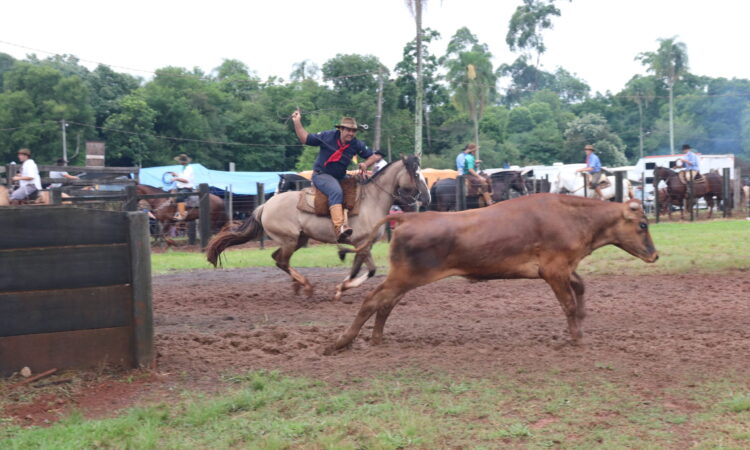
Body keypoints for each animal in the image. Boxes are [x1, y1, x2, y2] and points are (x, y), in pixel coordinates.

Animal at [207, 156, 428, 300]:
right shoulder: (362, 244)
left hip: (299, 239)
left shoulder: (363, 246)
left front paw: (341, 288)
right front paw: (342, 287)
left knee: (278, 259)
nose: (426, 197)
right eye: (416, 174)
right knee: (281, 261)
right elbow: (371, 270)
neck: (371, 200)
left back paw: (298, 285)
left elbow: (358, 269)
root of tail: (265, 206)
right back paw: (306, 286)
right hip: (290, 240)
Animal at [328, 195, 656, 354]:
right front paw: (577, 338)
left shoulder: (563, 269)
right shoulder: (553, 270)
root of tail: (408, 217)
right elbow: (569, 304)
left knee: (385, 304)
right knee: (373, 300)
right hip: (404, 276)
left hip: (404, 279)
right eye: (642, 225)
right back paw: (341, 342)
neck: (573, 217)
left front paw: (584, 322)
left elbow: (581, 288)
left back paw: (377, 339)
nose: (655, 255)